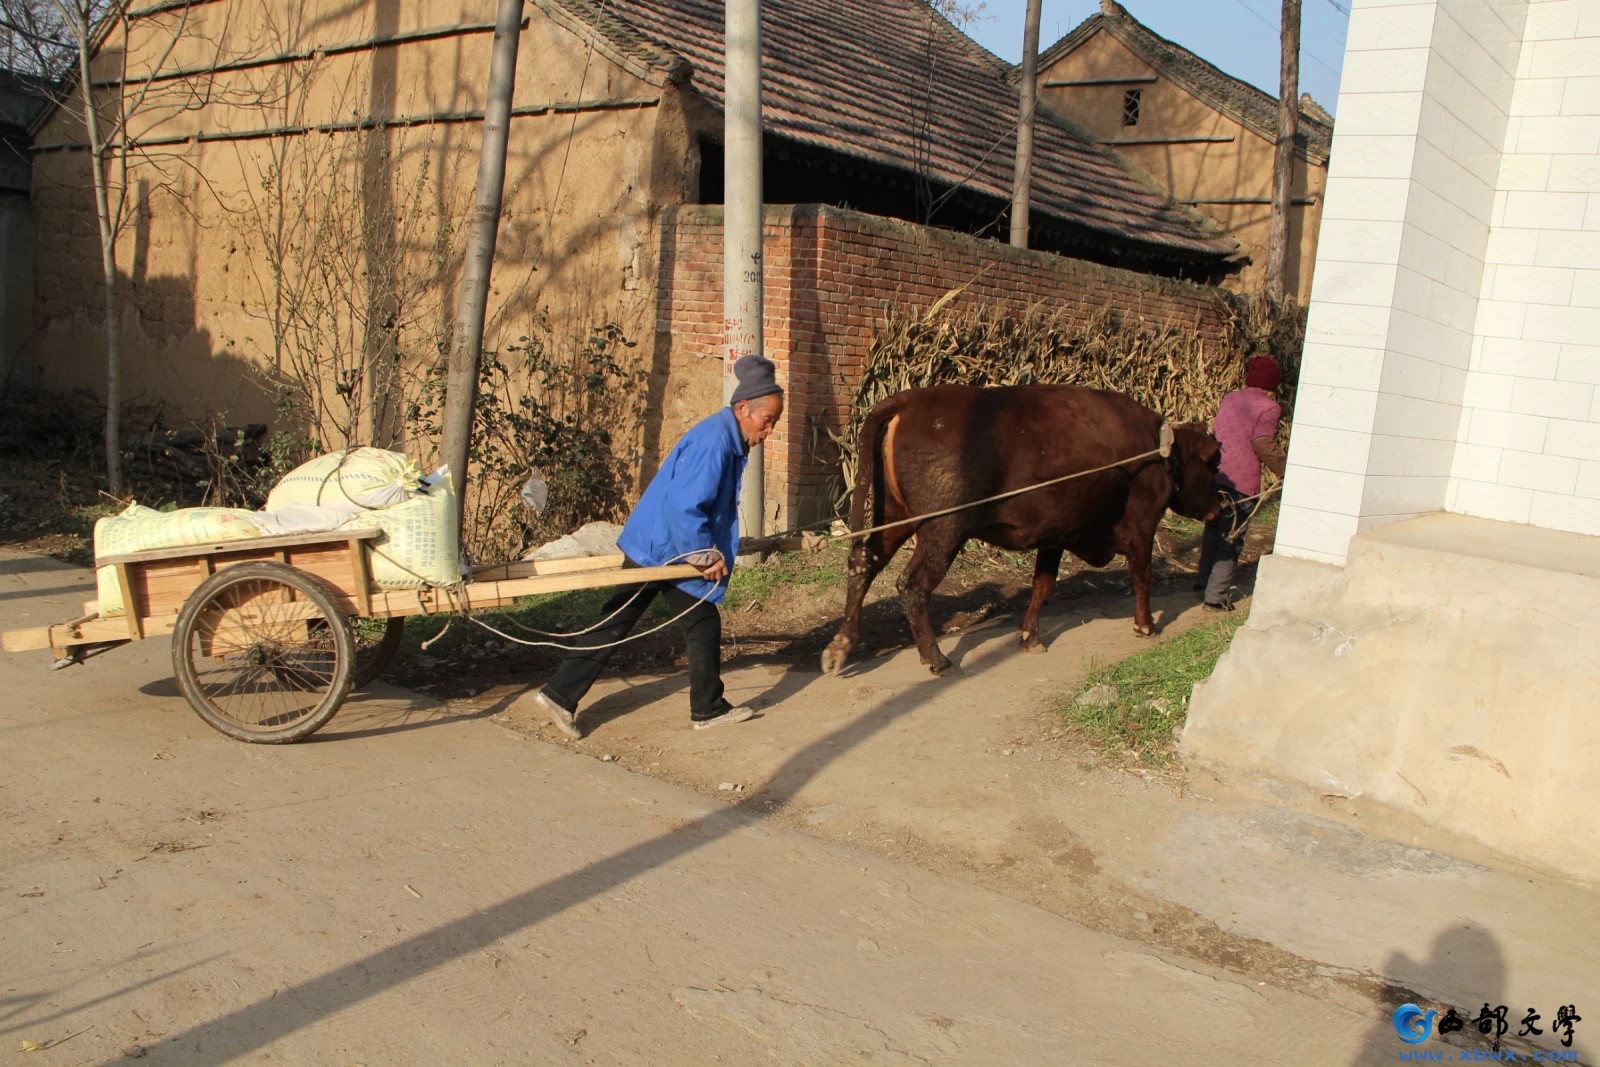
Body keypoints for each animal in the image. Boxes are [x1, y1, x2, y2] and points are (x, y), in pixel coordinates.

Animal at [825, 385, 1222, 675]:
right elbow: (1142, 577)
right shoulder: (1141, 527)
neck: (1160, 452)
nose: (1220, 506)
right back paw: (936, 658)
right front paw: (1146, 626)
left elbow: (1043, 585)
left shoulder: (1055, 535)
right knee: (912, 584)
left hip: (895, 518)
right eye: (1214, 462)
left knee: (863, 564)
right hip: (942, 531)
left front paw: (1030, 636)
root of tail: (909, 400)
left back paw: (841, 647)